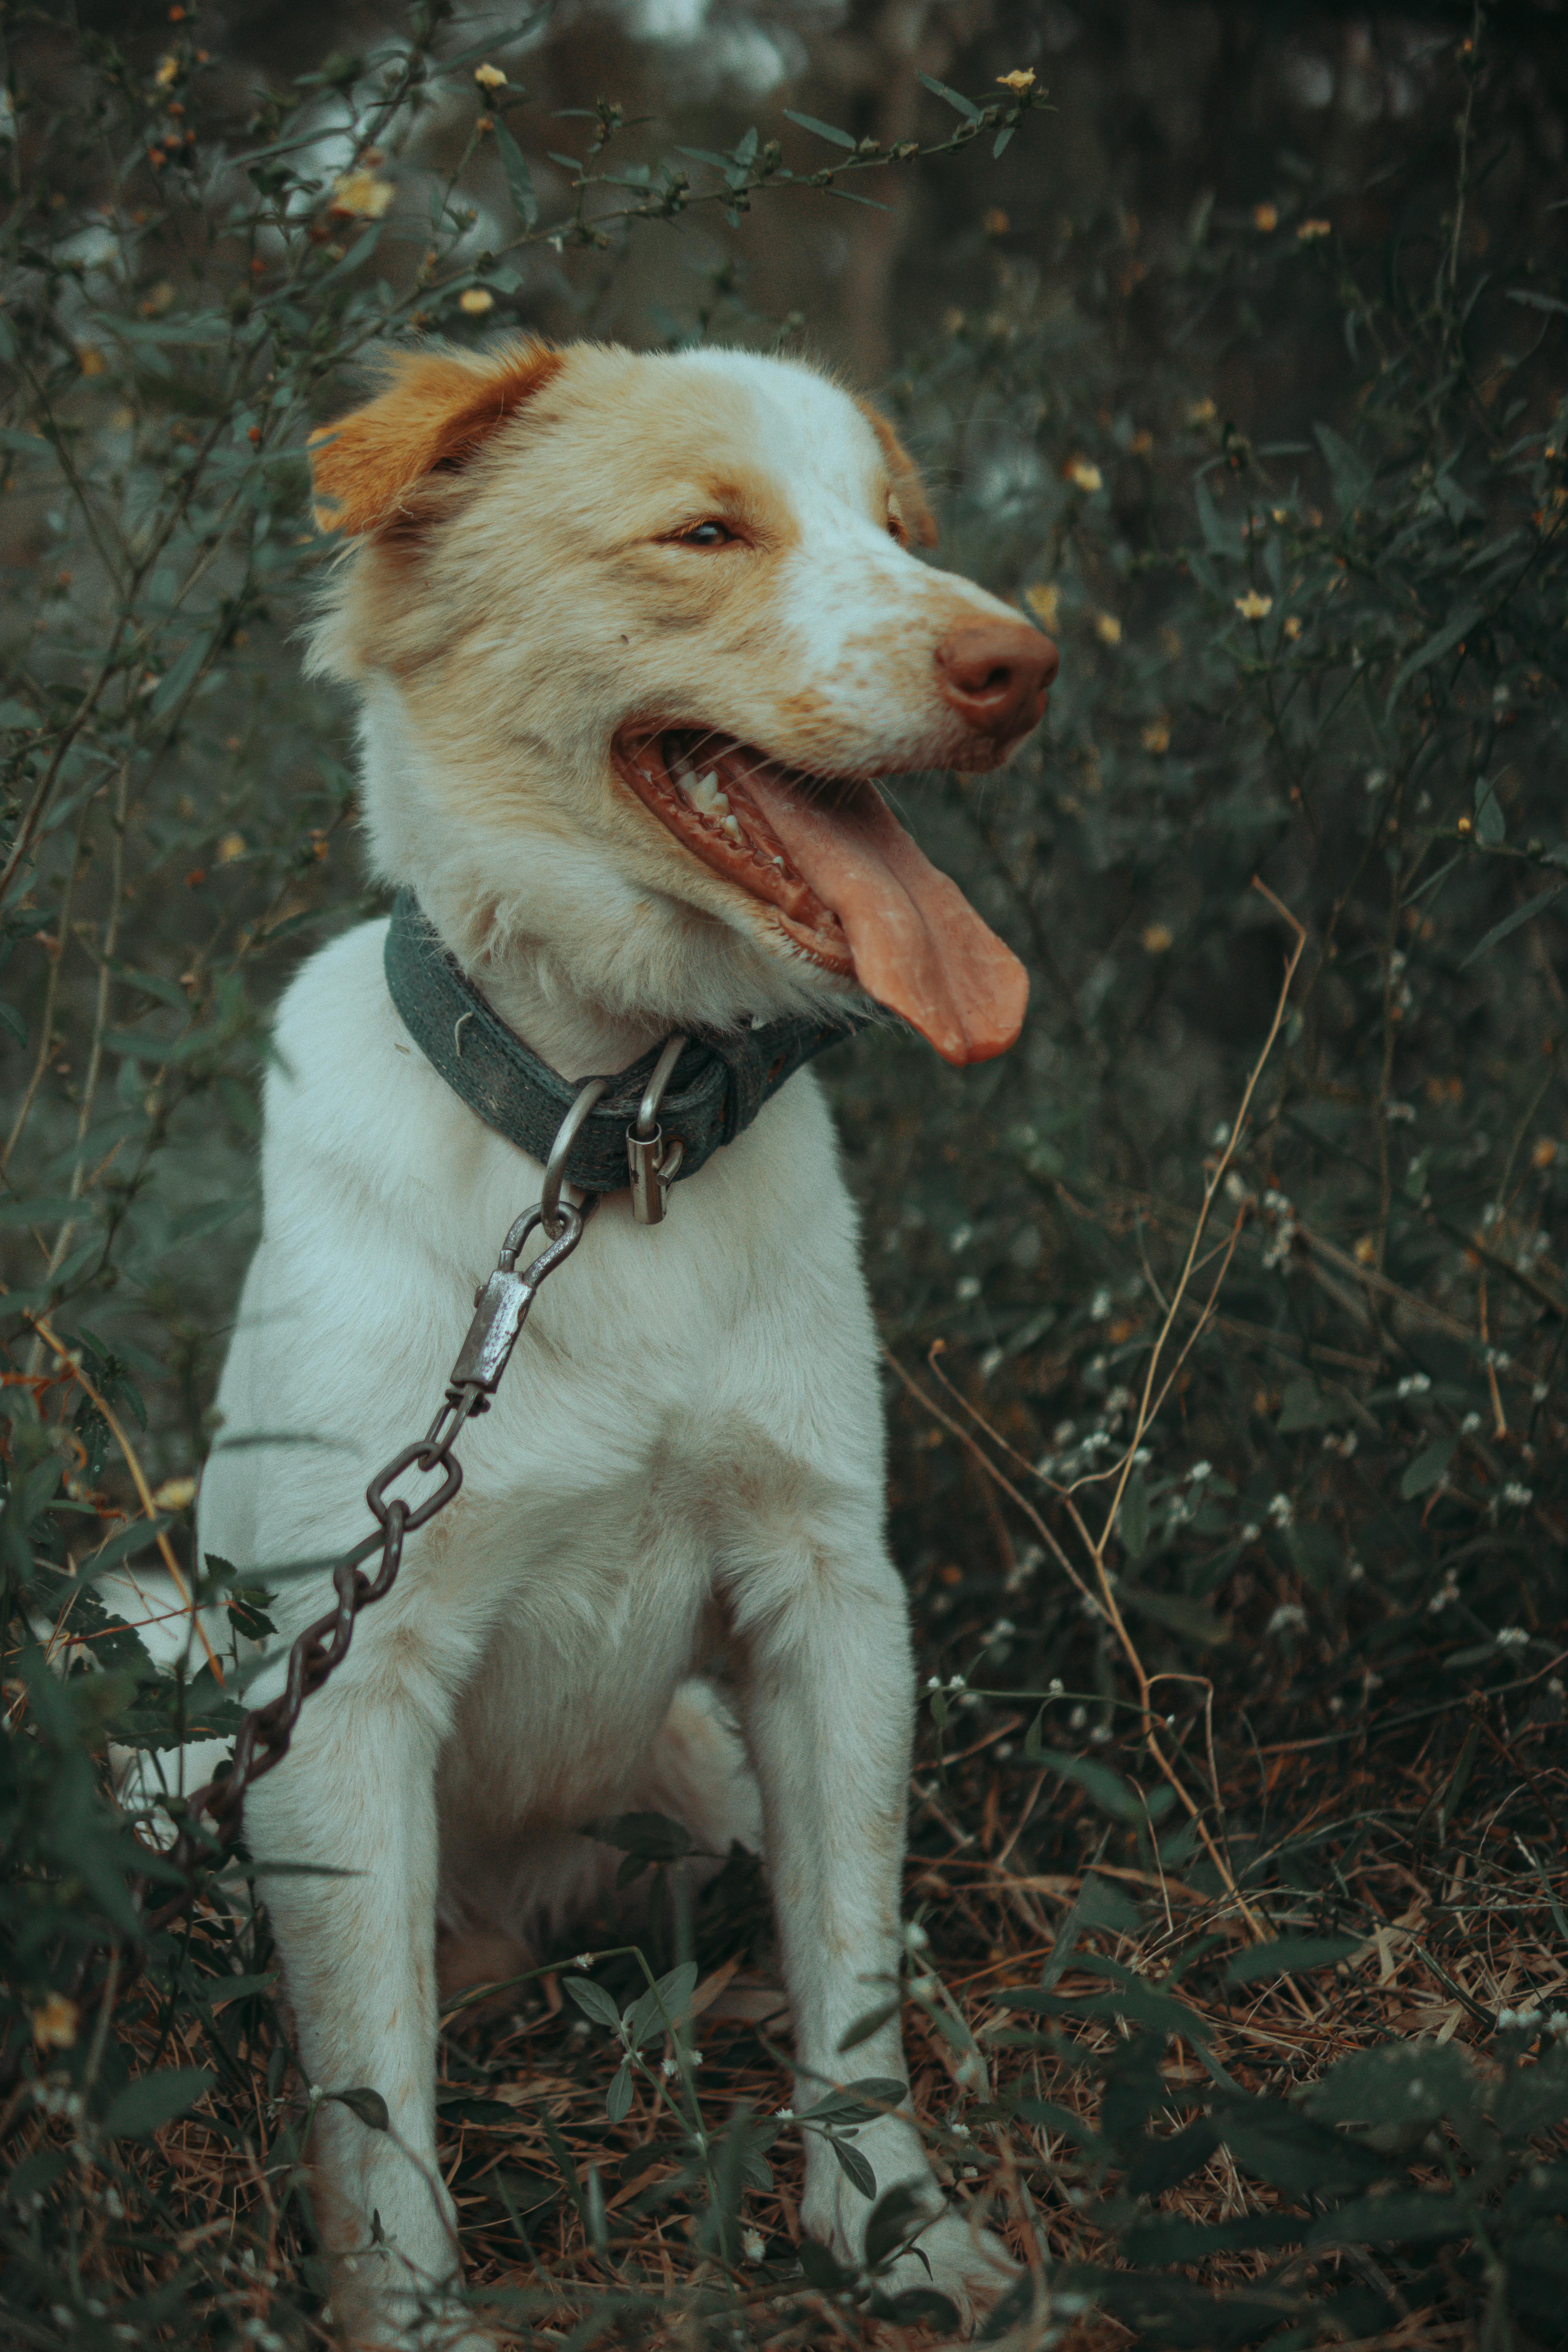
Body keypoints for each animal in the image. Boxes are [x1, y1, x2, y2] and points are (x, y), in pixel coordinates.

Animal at [192, 336, 1053, 2352]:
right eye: (704, 532)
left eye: (901, 526)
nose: (1023, 663)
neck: (607, 1137)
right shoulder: (341, 1691)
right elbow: (375, 2101)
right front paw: (415, 2322)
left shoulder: (829, 1604)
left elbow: (852, 1977)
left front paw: (896, 2232)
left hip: (701, 1765)